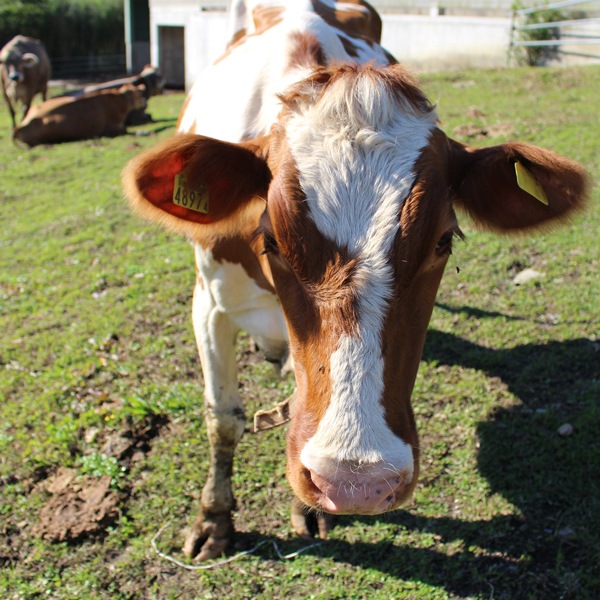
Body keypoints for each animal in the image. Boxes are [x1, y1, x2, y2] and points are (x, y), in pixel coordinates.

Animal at [120, 1, 584, 564]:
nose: (355, 483)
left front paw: (307, 508)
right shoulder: (209, 304)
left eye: (443, 240)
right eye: (271, 238)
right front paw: (214, 520)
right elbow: (223, 417)